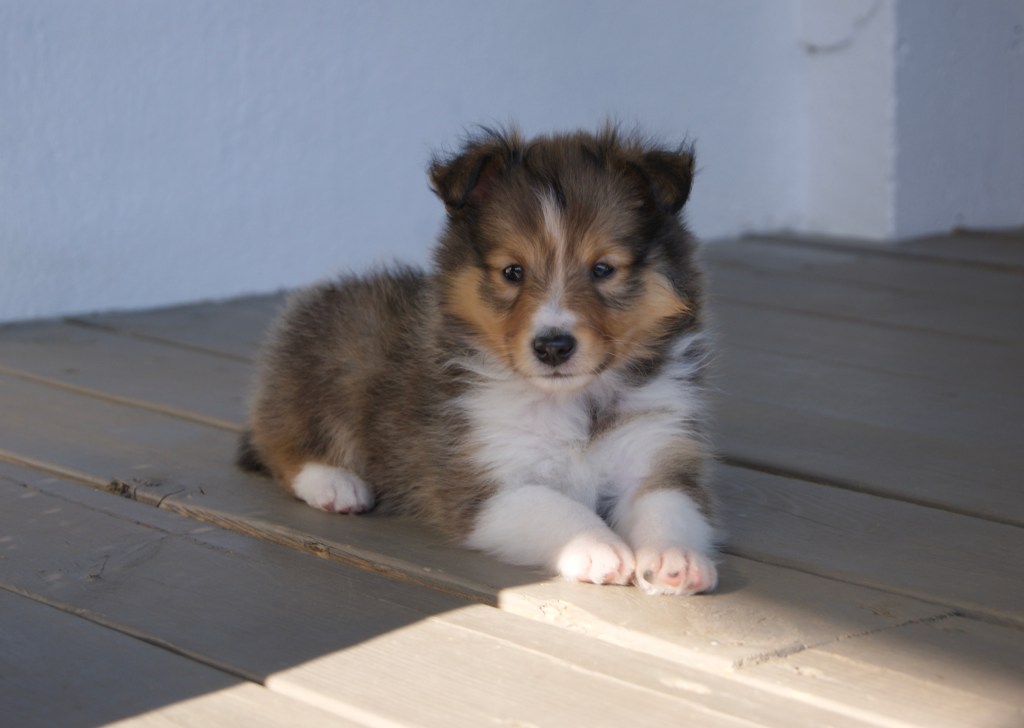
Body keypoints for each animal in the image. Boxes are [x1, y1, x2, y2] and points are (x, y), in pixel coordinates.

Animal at [238, 126, 718, 596]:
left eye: (603, 269)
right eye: (512, 272)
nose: (553, 347)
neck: (573, 404)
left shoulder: (653, 447)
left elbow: (670, 504)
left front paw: (676, 558)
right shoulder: (483, 480)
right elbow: (551, 506)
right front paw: (597, 546)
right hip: (337, 359)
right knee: (278, 440)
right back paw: (335, 484)